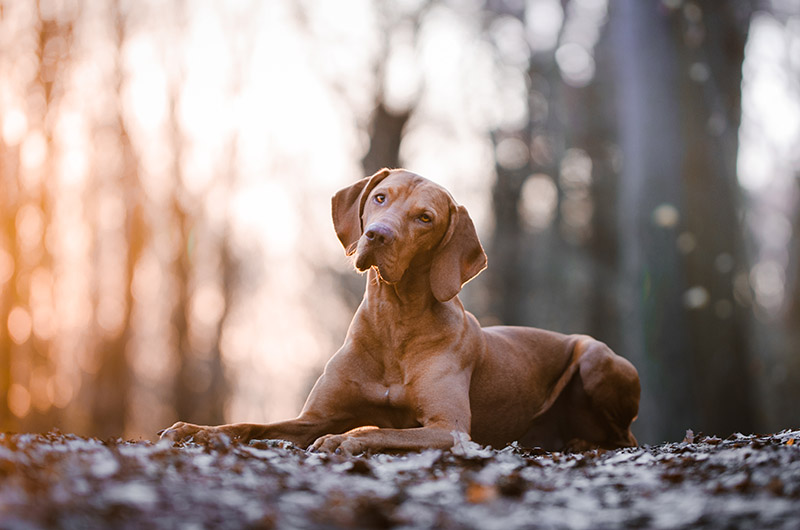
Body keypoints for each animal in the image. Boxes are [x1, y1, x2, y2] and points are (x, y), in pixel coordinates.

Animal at [159, 167, 640, 452]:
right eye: (380, 198)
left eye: (425, 218)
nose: (376, 235)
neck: (393, 321)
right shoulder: (312, 417)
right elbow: (250, 426)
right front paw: (194, 430)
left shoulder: (450, 428)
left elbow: (378, 429)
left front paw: (344, 440)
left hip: (597, 358)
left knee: (625, 435)